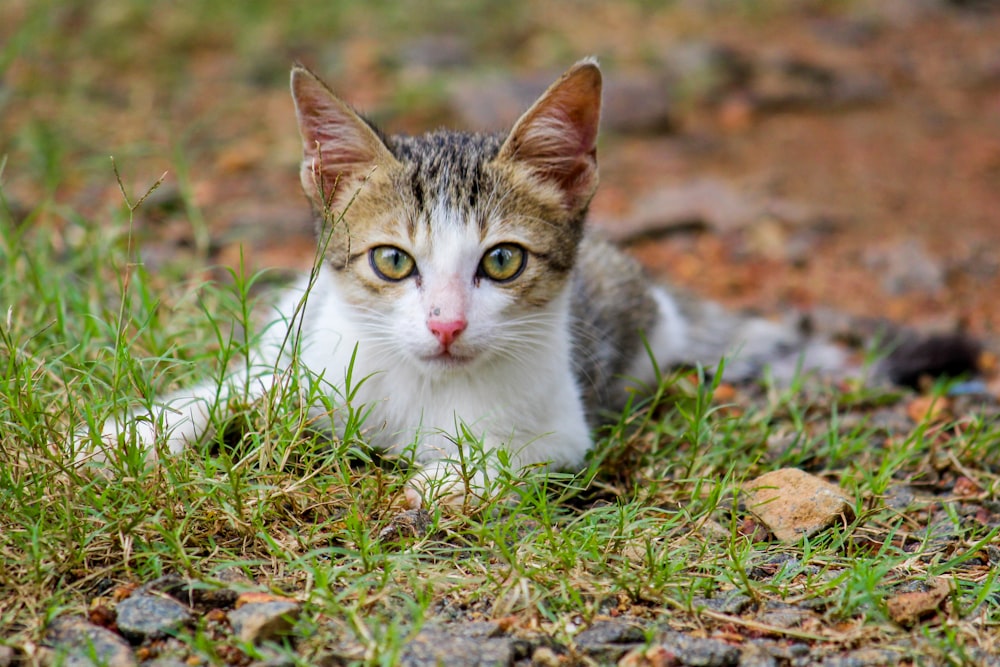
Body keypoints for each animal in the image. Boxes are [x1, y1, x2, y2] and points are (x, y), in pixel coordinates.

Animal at [74, 58, 980, 506]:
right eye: (393, 261)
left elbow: (514, 454)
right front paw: (129, 434)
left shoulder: (565, 429)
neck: (423, 386)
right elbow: (233, 388)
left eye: (502, 260)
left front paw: (445, 480)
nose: (445, 324)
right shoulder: (308, 361)